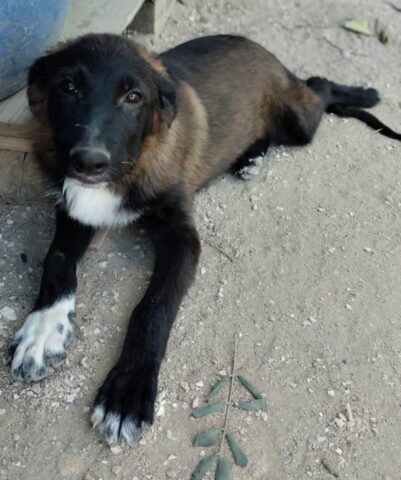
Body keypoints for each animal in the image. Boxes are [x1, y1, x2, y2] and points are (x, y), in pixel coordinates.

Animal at [10, 33, 400, 444]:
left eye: (133, 97)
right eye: (68, 86)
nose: (88, 161)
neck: (133, 164)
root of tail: (264, 52)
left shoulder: (182, 238)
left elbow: (152, 308)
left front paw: (127, 393)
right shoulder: (74, 209)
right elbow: (56, 260)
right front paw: (42, 332)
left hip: (300, 123)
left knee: (318, 86)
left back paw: (364, 94)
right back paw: (249, 157)